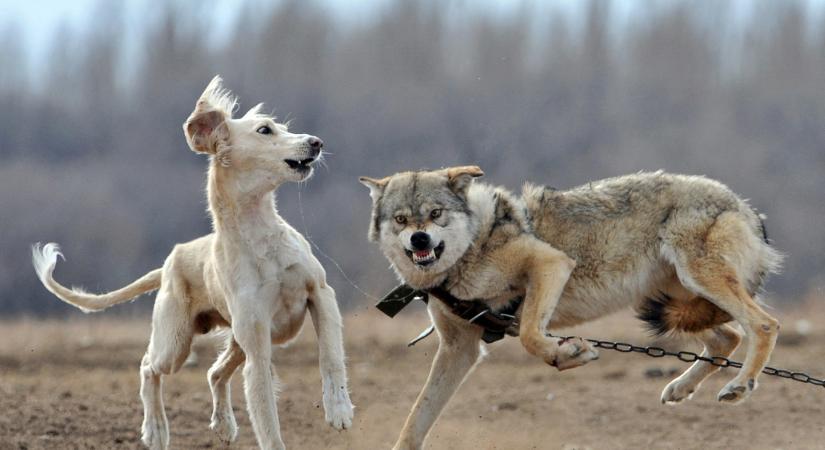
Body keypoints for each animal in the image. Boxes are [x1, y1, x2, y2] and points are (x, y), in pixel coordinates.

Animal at [32, 75, 352, 448]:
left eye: (284, 127)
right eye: (264, 130)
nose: (316, 142)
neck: (262, 241)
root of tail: (170, 262)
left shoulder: (321, 295)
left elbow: (330, 357)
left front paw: (339, 410)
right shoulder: (258, 348)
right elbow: (268, 425)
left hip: (232, 340)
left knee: (213, 372)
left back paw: (224, 424)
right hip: (176, 343)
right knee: (148, 366)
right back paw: (155, 429)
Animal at [358, 166, 780, 450]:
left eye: (435, 214)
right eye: (401, 220)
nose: (419, 239)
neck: (468, 254)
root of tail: (747, 208)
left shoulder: (550, 264)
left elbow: (530, 335)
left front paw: (568, 354)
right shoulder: (458, 348)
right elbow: (416, 421)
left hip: (695, 282)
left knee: (763, 325)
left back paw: (740, 386)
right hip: (669, 299)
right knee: (728, 337)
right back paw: (680, 388)